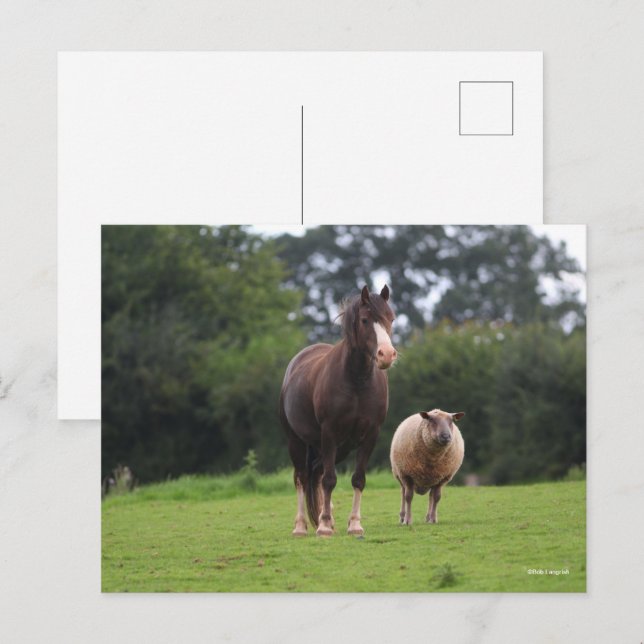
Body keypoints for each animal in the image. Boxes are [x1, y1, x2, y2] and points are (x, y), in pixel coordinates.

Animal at [278, 285, 397, 537]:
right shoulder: (330, 433)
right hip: (298, 441)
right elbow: (330, 480)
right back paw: (301, 526)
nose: (386, 354)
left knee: (316, 472)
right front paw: (323, 526)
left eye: (390, 318)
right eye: (364, 320)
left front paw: (354, 524)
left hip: (340, 447)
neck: (357, 381)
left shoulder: (370, 435)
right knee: (302, 477)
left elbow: (358, 479)